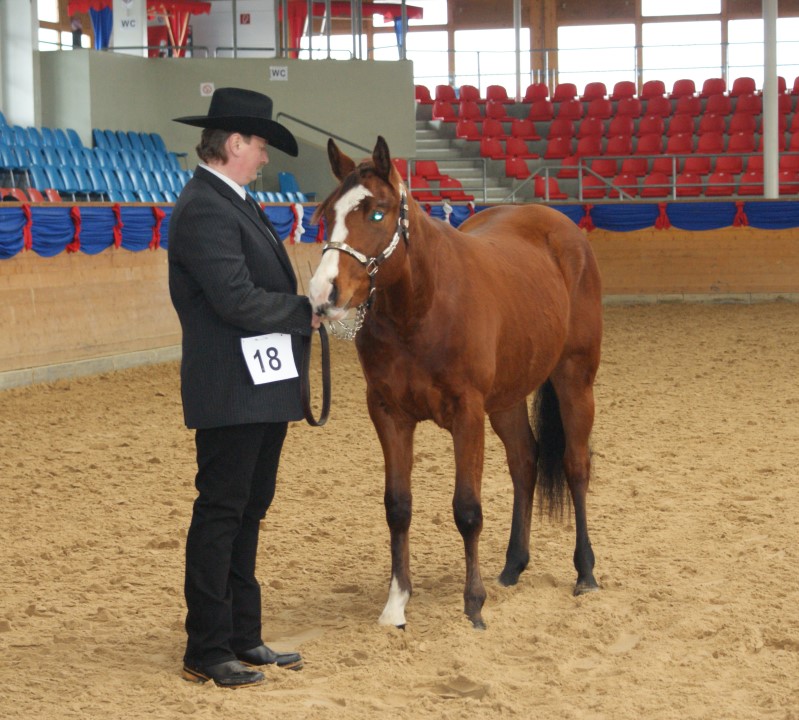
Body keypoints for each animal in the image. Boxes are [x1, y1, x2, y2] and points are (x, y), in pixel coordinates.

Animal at [310, 136, 604, 632]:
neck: (420, 309)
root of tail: (564, 229)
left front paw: (473, 605)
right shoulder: (388, 413)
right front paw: (396, 604)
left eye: (377, 213)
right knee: (524, 462)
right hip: (505, 399)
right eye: (326, 213)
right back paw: (512, 566)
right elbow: (397, 506)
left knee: (575, 466)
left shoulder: (467, 413)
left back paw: (585, 573)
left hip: (574, 379)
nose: (322, 294)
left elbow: (467, 510)